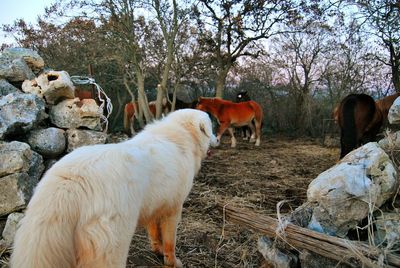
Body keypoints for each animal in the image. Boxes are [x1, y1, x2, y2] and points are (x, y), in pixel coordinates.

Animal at [10, 109, 217, 268]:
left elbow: (155, 234)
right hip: (113, 245)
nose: (218, 140)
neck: (180, 134)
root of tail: (74, 178)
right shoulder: (173, 209)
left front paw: (156, 250)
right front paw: (173, 262)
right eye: (212, 129)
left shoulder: (154, 206)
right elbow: (169, 242)